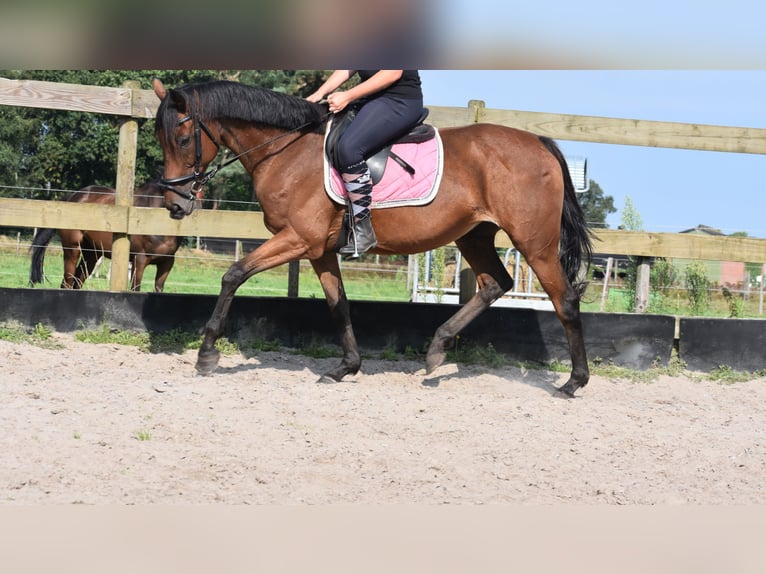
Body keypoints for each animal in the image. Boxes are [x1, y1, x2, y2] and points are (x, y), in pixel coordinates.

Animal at [29, 181, 182, 292]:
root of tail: (72, 197)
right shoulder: (139, 261)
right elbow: (135, 288)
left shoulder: (167, 263)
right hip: (72, 249)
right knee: (68, 282)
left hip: (91, 254)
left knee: (76, 282)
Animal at [150, 79, 592, 398]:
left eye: (184, 140)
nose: (175, 204)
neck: (287, 152)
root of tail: (540, 143)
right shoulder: (320, 250)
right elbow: (338, 305)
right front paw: (345, 367)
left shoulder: (299, 239)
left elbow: (233, 275)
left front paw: (206, 355)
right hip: (474, 236)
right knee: (494, 284)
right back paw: (437, 350)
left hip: (534, 243)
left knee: (564, 300)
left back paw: (573, 382)